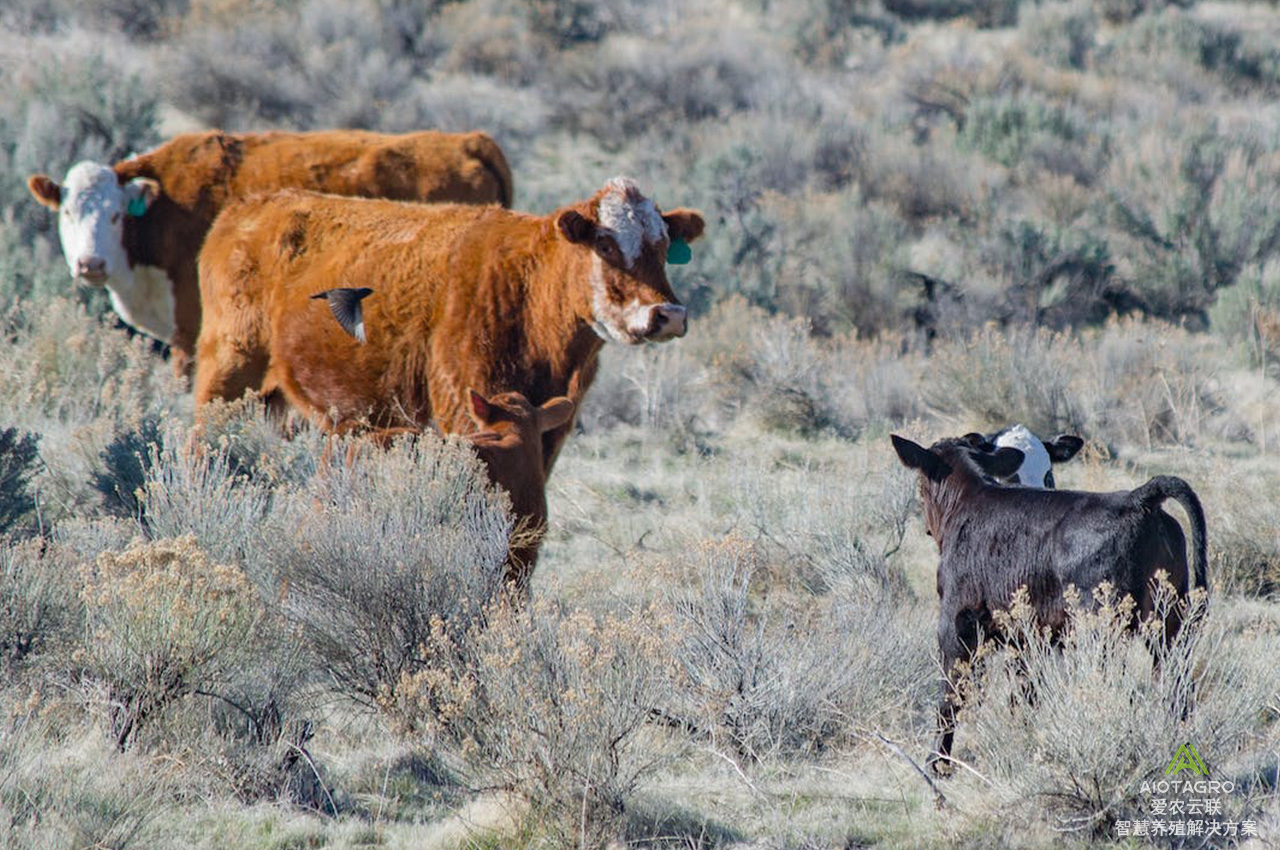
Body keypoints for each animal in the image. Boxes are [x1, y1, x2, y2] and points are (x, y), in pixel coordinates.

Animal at [896, 435, 1203, 773]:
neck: (968, 501)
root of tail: (1138, 499)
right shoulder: (1025, 639)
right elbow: (1023, 696)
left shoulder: (955, 623)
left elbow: (952, 694)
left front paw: (937, 762)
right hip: (1171, 624)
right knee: (1177, 686)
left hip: (1102, 631)